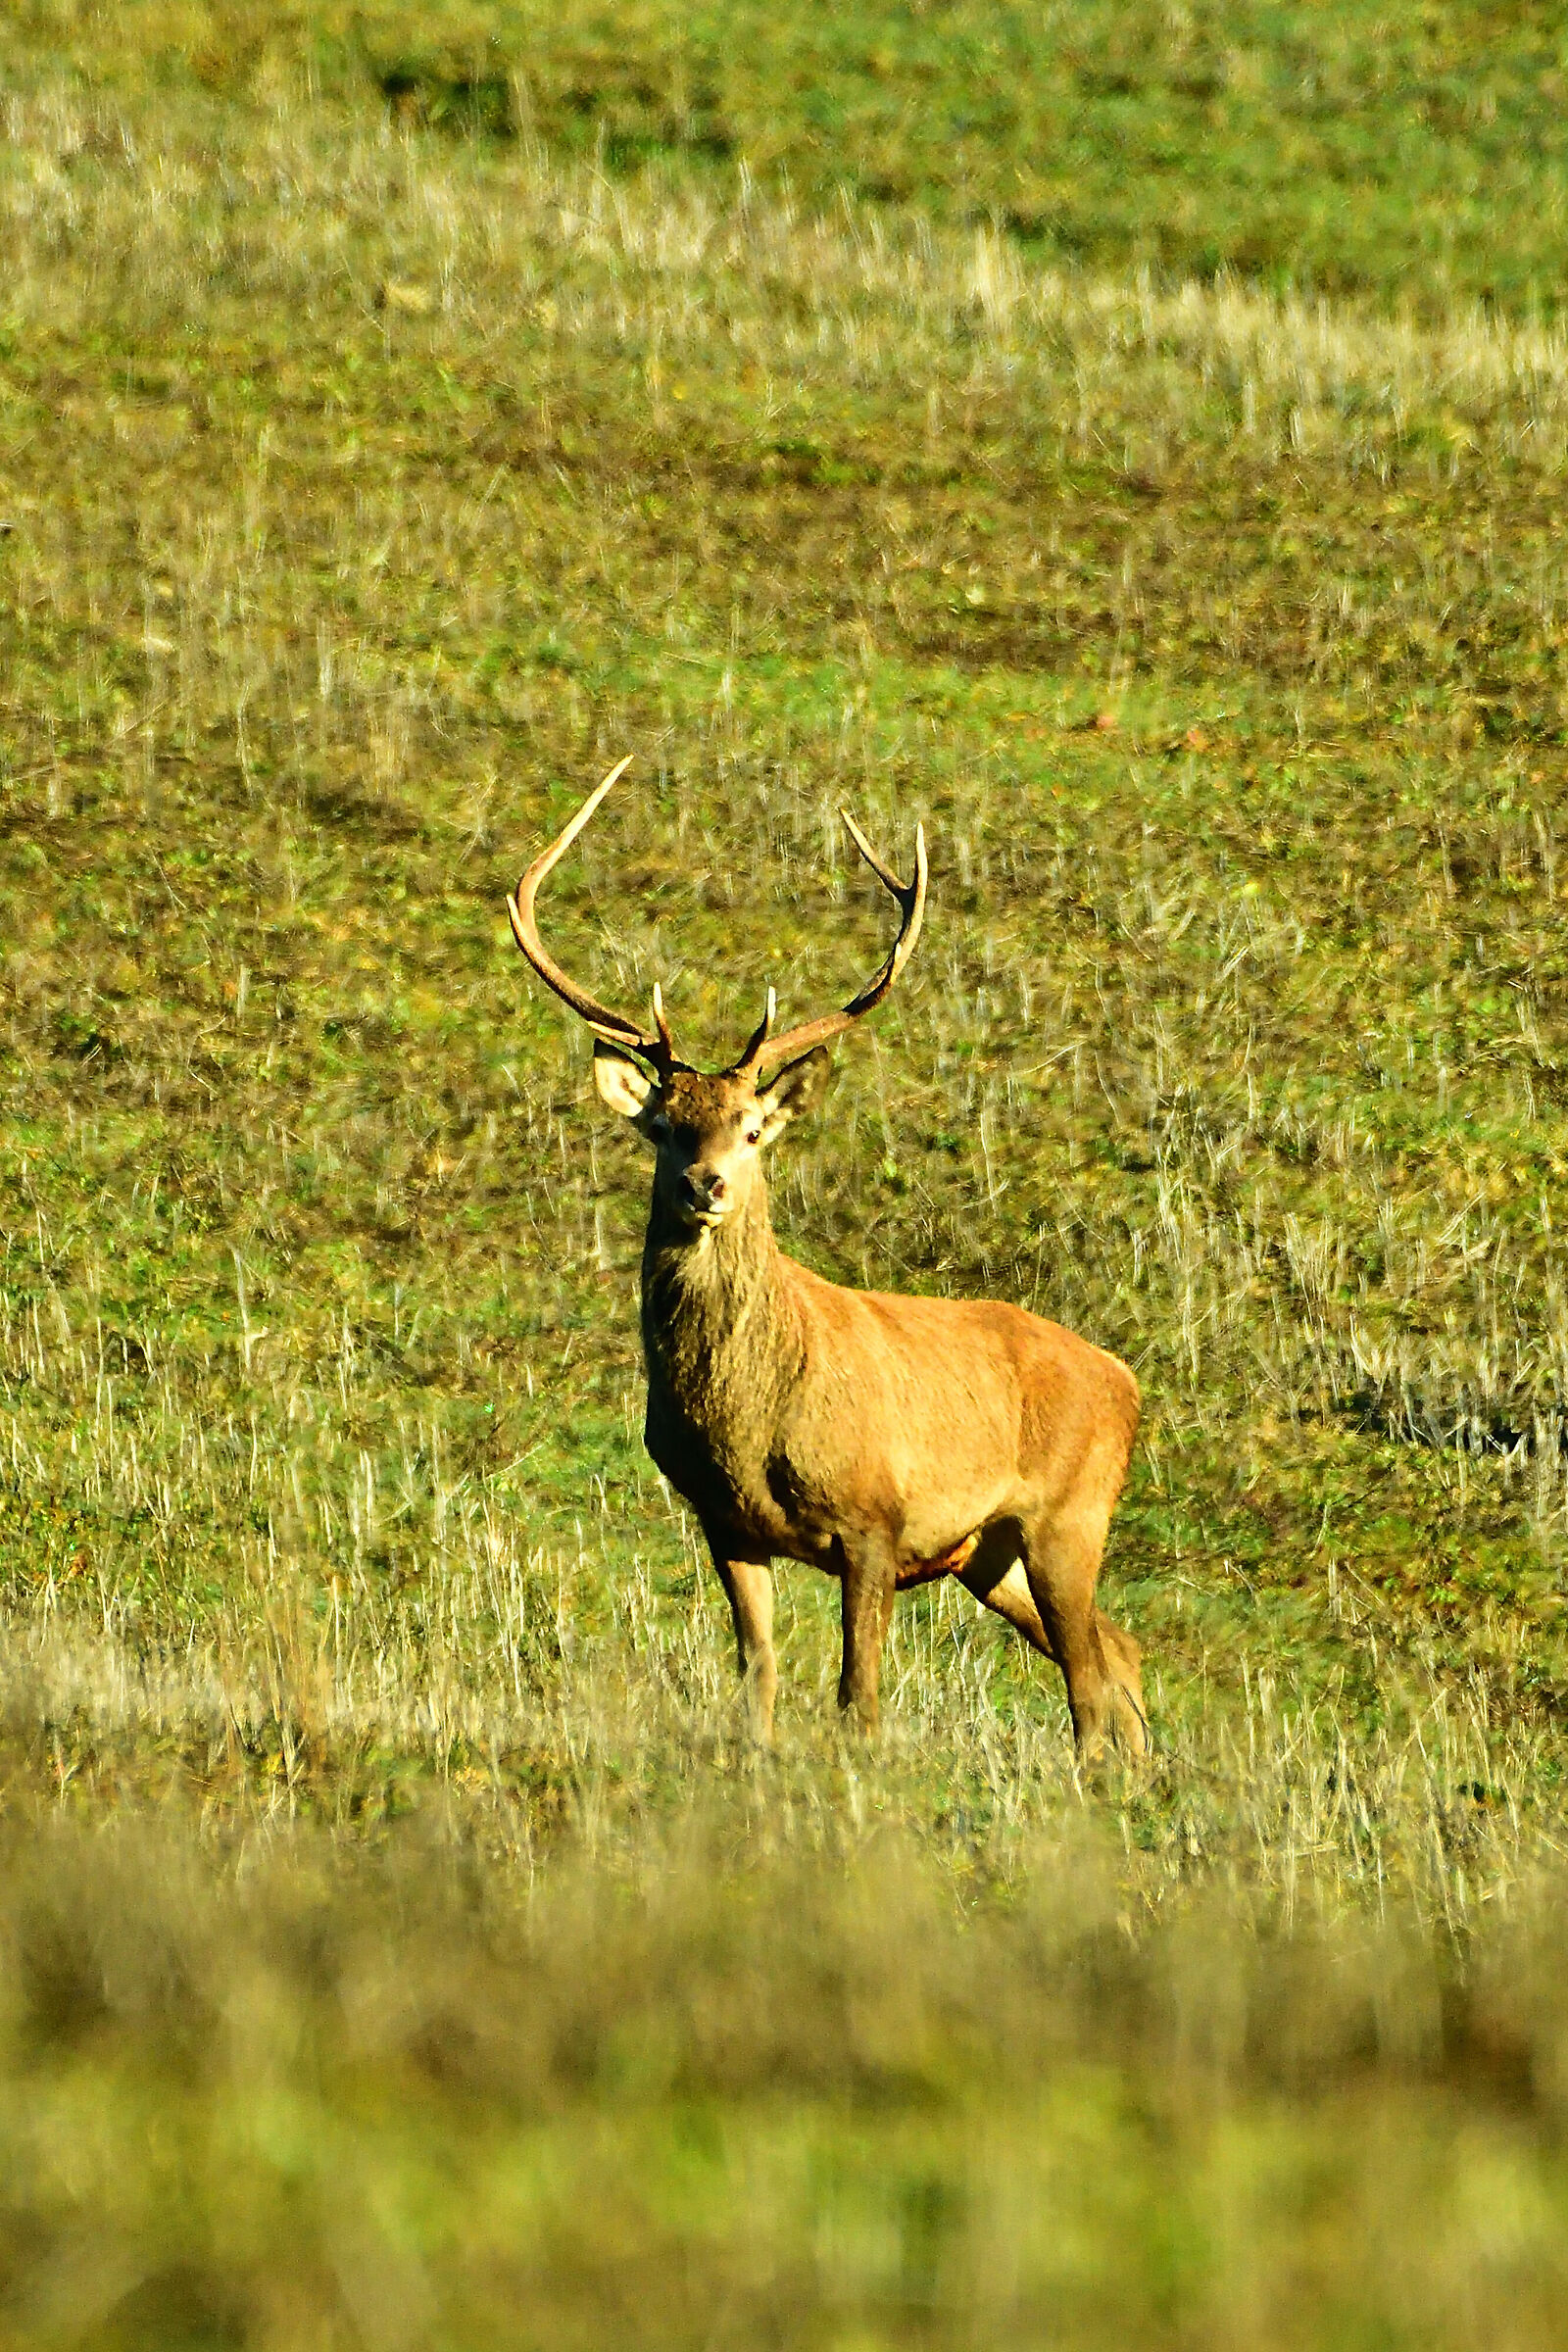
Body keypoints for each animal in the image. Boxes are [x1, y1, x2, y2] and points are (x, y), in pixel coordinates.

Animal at [506, 758, 1148, 1759]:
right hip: (988, 1554)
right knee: (1120, 1653)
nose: (705, 1185)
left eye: (751, 1128)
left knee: (1088, 1677)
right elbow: (758, 1677)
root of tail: (1128, 1381)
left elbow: (860, 1698)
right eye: (666, 1124)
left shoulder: (874, 1517)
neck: (745, 1419)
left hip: (1069, 1516)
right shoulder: (725, 1522)